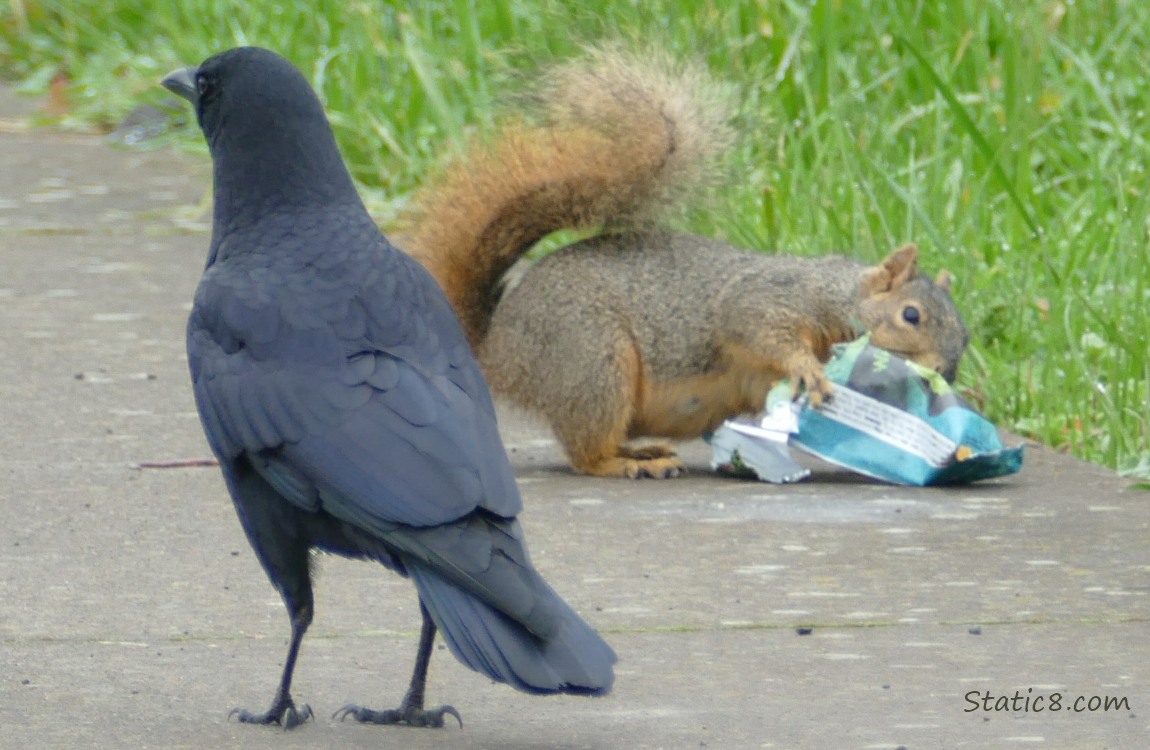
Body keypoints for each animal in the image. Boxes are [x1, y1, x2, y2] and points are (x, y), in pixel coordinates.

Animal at [404, 48, 970, 480]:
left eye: (964, 334)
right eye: (911, 315)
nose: (944, 373)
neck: (839, 293)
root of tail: (496, 349)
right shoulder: (774, 294)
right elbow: (757, 326)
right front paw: (807, 367)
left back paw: (642, 449)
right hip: (589, 358)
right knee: (585, 452)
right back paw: (627, 463)